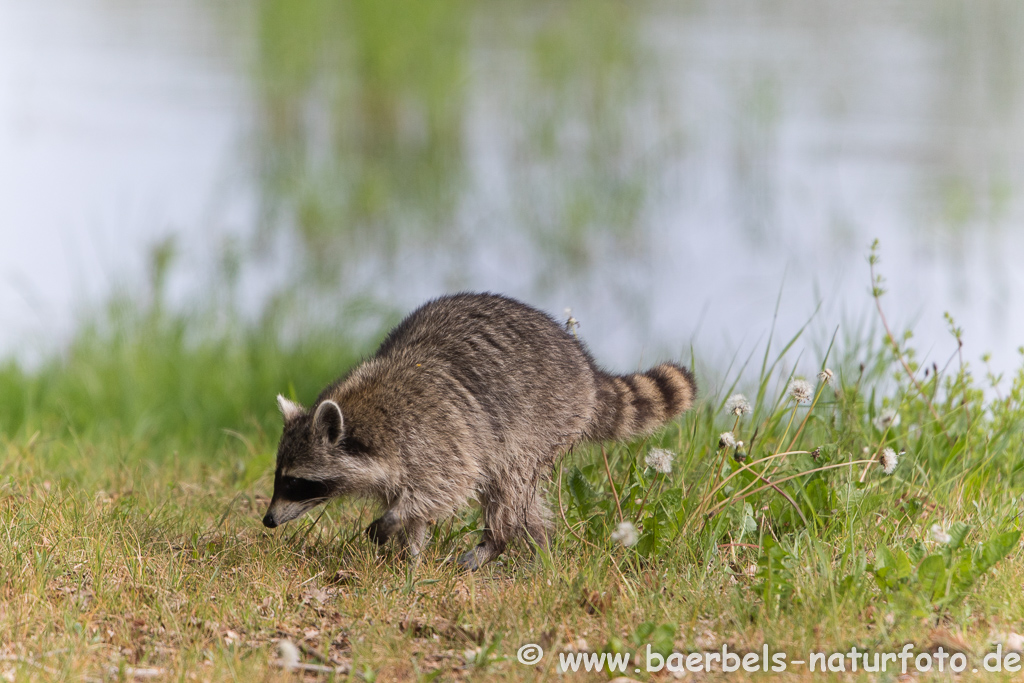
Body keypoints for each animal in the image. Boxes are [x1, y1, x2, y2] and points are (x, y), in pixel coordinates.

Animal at [264, 294, 696, 573]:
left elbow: (446, 486)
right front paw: (410, 555)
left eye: (297, 482)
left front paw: (395, 521)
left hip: (543, 418)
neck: (367, 417)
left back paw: (499, 542)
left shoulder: (438, 437)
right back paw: (538, 543)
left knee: (509, 487)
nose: (267, 521)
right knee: (522, 500)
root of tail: (586, 368)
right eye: (278, 478)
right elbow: (418, 509)